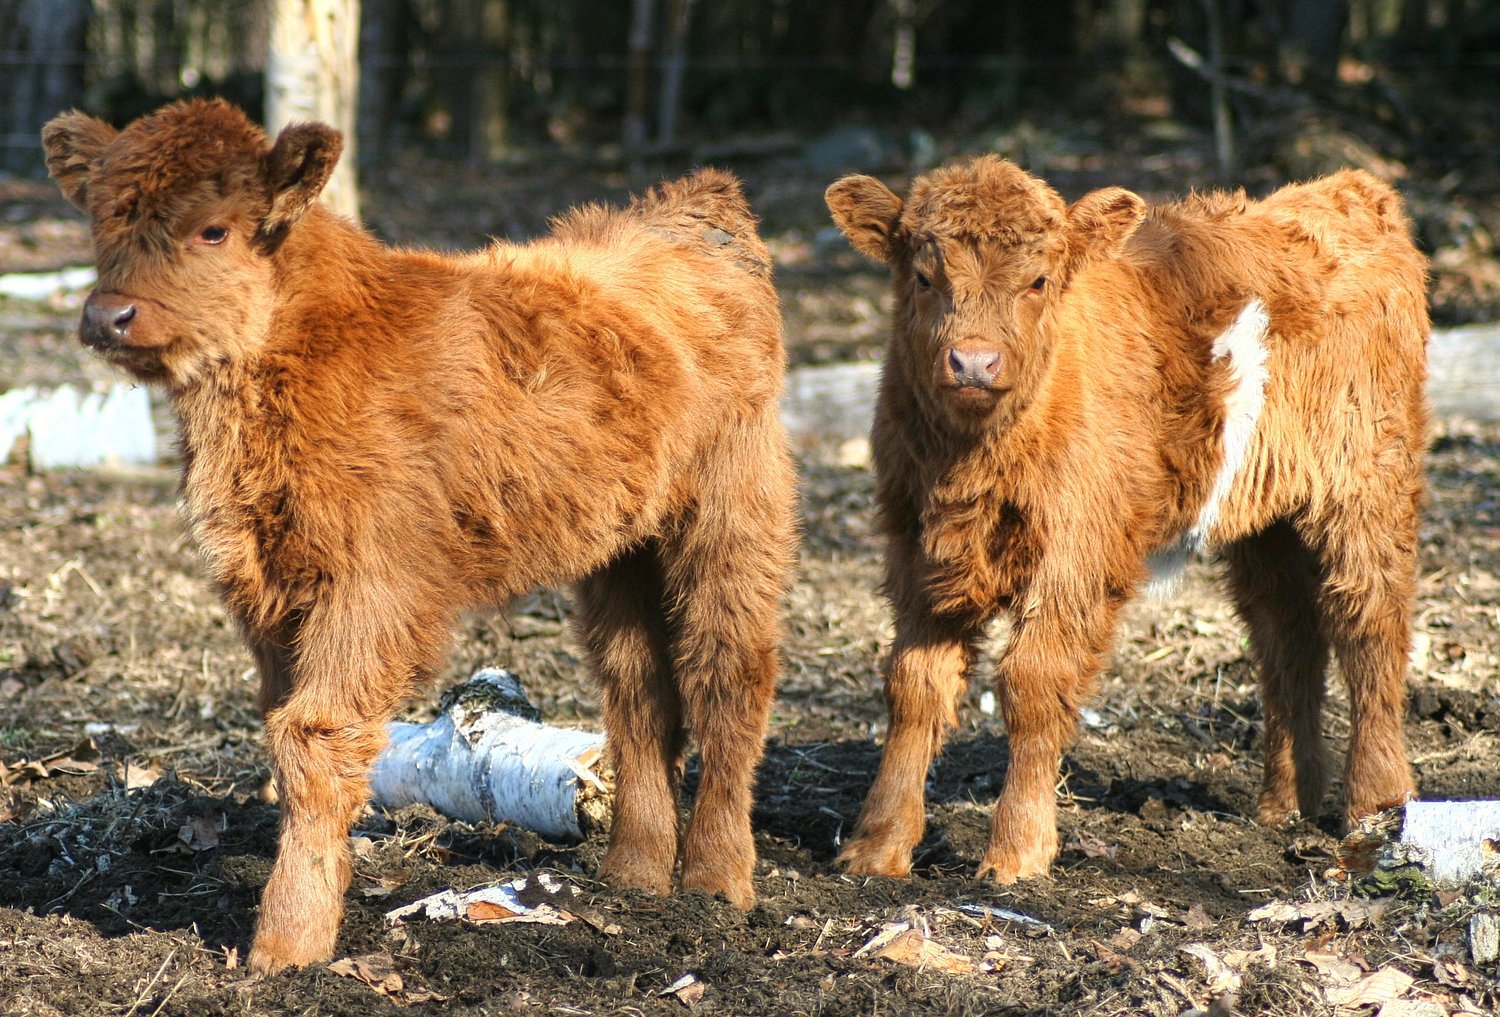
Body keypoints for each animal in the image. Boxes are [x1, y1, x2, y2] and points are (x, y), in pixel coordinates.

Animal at [41, 99, 796, 972]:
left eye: (213, 229)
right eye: (102, 218)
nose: (108, 315)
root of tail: (693, 208)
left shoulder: (371, 586)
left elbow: (316, 735)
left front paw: (287, 944)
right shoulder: (269, 590)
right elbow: (286, 732)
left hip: (733, 515)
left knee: (728, 674)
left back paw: (717, 882)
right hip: (621, 550)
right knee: (639, 687)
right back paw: (635, 876)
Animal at [825, 154, 1427, 885]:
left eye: (1038, 280)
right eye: (922, 276)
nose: (973, 362)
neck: (971, 461)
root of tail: (1350, 191)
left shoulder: (1074, 554)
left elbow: (1033, 682)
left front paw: (1017, 851)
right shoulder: (916, 547)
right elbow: (913, 687)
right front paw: (876, 846)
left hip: (1367, 488)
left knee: (1370, 627)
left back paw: (1377, 807)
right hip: (1267, 522)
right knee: (1287, 633)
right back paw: (1285, 804)